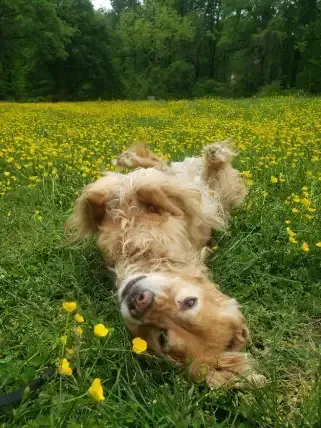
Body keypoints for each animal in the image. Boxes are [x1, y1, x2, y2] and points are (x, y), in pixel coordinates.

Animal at [66, 142, 264, 390]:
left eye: (162, 337)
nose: (139, 300)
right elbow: (131, 191)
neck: (145, 256)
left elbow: (148, 191)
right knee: (162, 166)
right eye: (190, 302)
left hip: (223, 194)